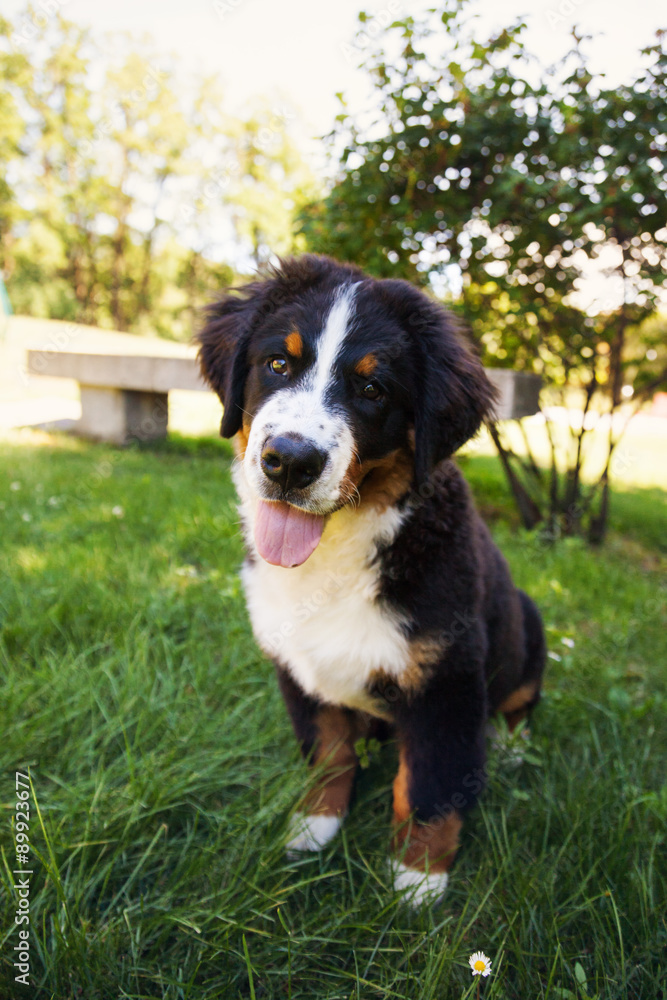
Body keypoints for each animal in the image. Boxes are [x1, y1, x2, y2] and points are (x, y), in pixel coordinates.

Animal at [197, 252, 544, 908]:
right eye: (278, 363)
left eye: (372, 389)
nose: (290, 461)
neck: (331, 559)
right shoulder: (298, 668)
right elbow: (329, 753)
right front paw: (313, 827)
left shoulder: (446, 681)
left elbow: (430, 785)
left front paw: (419, 880)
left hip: (528, 621)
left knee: (520, 699)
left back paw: (512, 748)